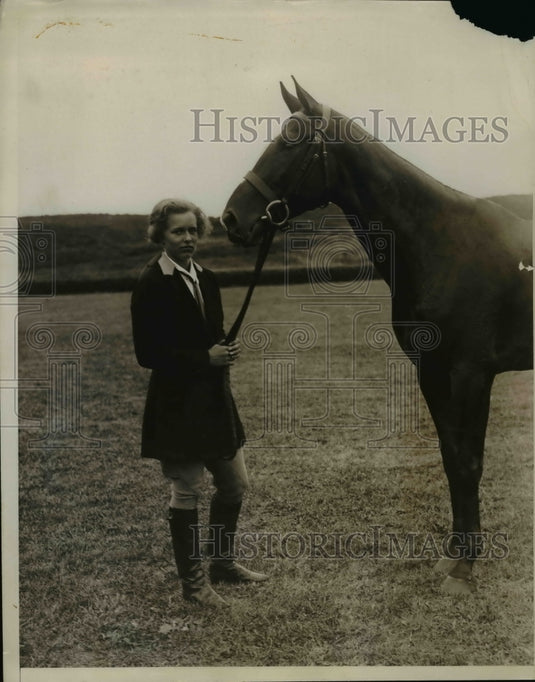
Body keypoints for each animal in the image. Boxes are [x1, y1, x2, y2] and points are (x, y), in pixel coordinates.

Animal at [221, 78, 533, 594]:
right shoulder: (431, 371)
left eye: (289, 142)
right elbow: (451, 459)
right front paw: (453, 555)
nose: (231, 219)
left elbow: (470, 461)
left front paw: (465, 569)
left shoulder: (472, 373)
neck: (440, 243)